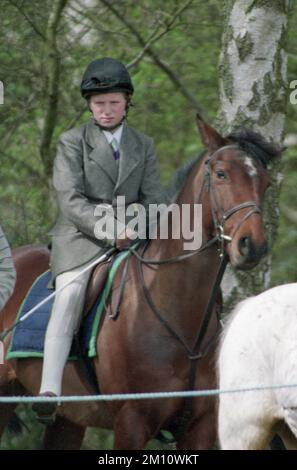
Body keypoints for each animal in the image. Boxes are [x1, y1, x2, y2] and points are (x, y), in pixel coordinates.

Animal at [0, 116, 278, 448]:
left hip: (68, 420)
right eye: (221, 174)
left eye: (265, 181)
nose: (253, 246)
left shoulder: (201, 427)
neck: (177, 310)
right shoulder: (131, 422)